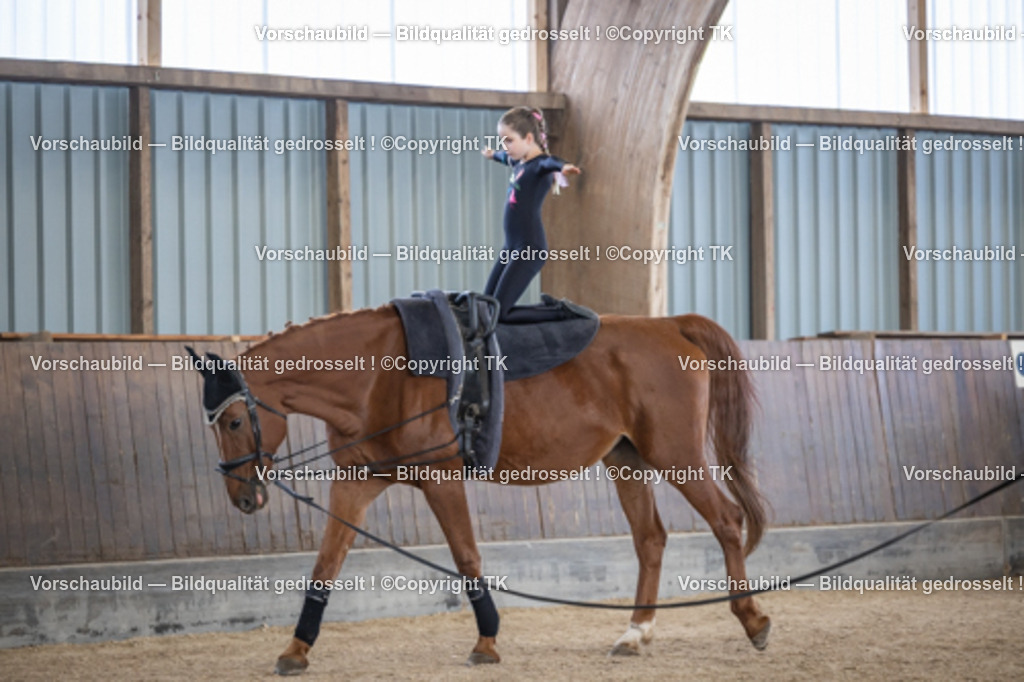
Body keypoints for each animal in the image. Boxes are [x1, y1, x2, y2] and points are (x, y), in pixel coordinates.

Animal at [188, 305, 771, 674]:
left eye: (235, 421)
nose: (244, 498)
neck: (381, 376)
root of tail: (670, 325)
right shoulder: (356, 483)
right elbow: (325, 566)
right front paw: (296, 649)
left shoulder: (442, 480)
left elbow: (466, 557)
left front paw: (487, 641)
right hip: (627, 460)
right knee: (650, 539)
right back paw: (635, 633)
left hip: (676, 454)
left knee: (725, 520)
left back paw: (752, 620)